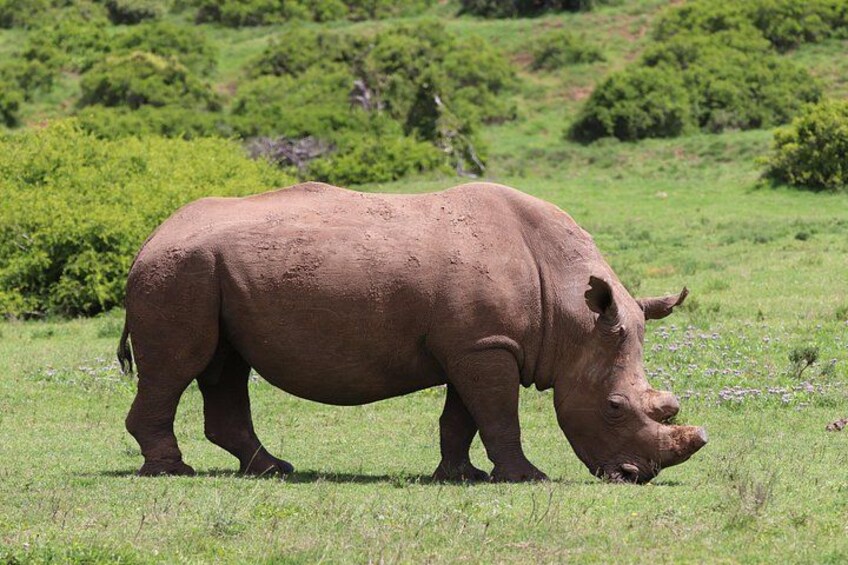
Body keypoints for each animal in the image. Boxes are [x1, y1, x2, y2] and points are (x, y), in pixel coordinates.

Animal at [118, 182, 706, 483]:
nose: (636, 475)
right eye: (613, 407)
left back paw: (273, 470)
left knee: (225, 366)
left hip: (205, 271)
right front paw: (527, 478)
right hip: (178, 271)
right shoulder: (486, 347)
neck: (570, 314)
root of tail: (151, 236)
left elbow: (463, 418)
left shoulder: (478, 343)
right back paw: (172, 472)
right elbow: (500, 417)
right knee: (179, 366)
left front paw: (459, 476)